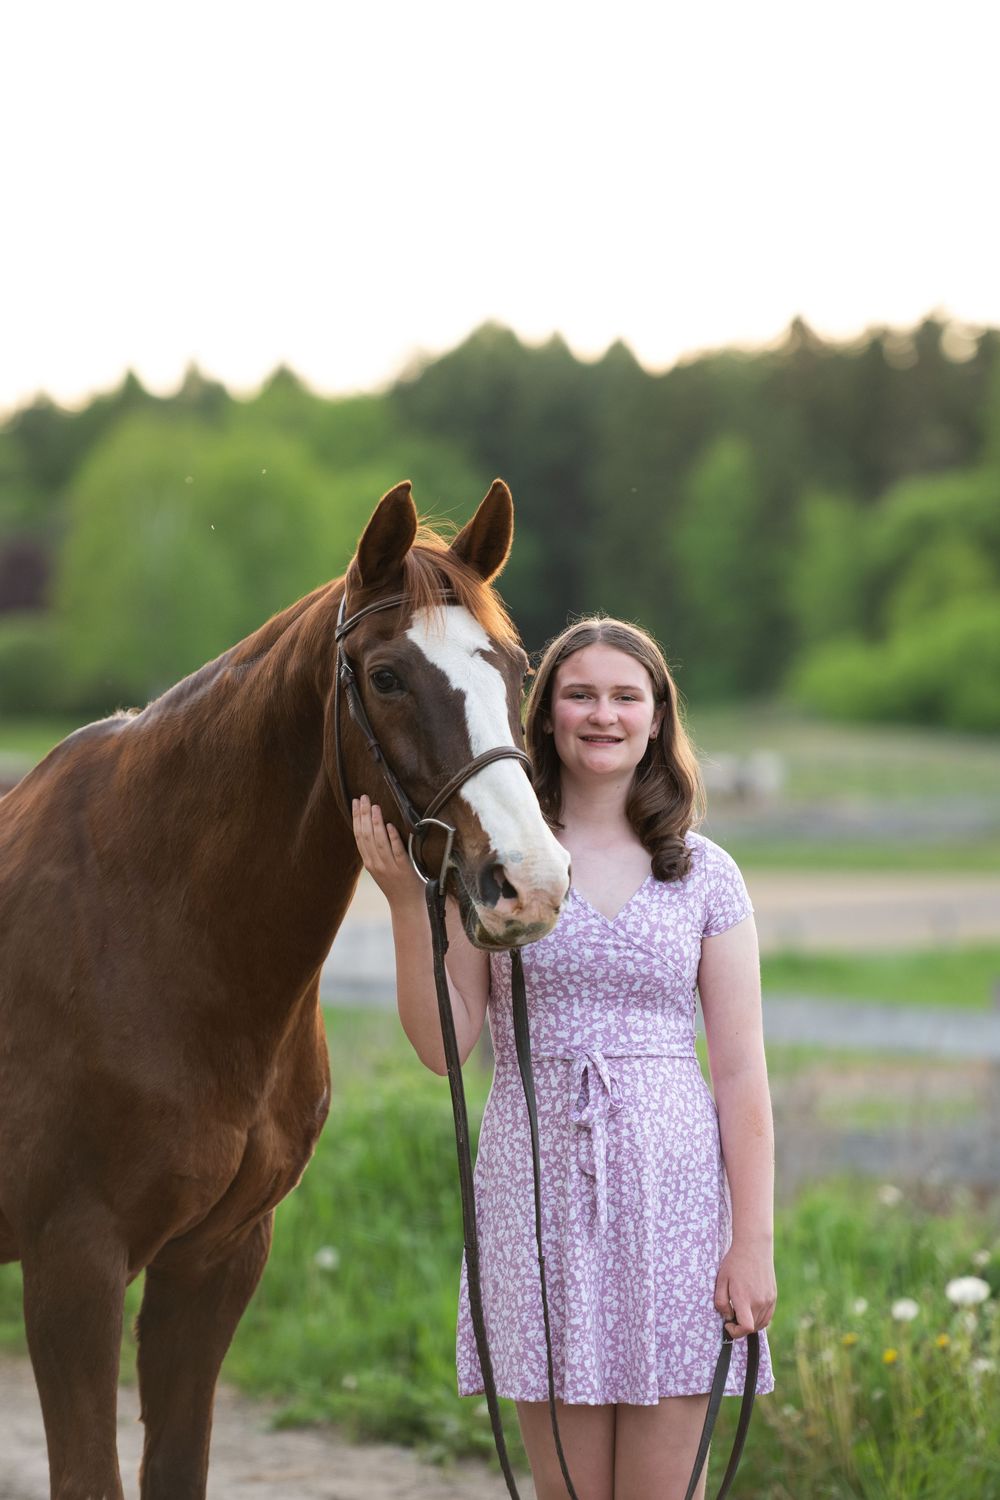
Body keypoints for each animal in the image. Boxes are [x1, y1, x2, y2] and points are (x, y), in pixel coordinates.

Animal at [0, 478, 571, 1500]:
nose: (528, 882)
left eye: (513, 667)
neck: (152, 930)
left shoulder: (217, 1261)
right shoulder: (72, 1265)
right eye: (385, 677)